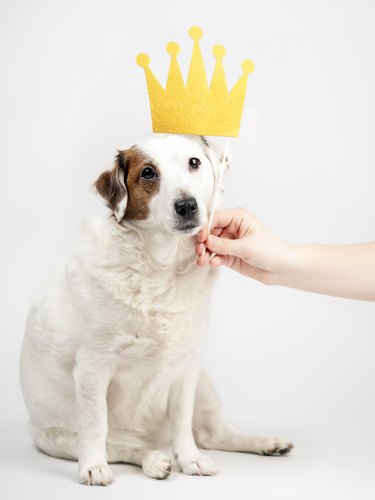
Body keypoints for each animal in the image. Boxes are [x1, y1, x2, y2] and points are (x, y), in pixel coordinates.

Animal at [19, 134, 294, 484]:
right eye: (147, 173)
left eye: (194, 162)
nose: (187, 205)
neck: (160, 268)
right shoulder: (93, 366)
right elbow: (96, 425)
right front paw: (93, 466)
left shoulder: (187, 366)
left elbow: (182, 422)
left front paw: (190, 459)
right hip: (57, 439)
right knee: (122, 446)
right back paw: (152, 460)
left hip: (204, 383)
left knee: (213, 434)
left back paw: (265, 443)